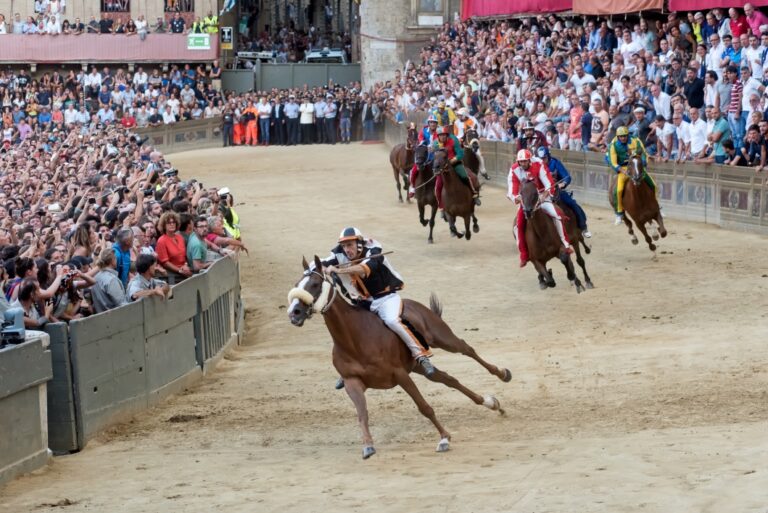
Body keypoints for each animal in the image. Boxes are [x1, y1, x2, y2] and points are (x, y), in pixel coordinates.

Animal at [286, 256, 510, 460]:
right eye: (296, 285)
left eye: (315, 284)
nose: (294, 313)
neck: (355, 339)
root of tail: (416, 305)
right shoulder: (352, 382)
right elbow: (362, 414)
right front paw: (368, 446)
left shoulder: (400, 374)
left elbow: (424, 407)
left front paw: (444, 438)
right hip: (418, 366)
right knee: (447, 378)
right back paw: (491, 403)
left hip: (443, 339)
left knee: (467, 349)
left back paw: (502, 373)